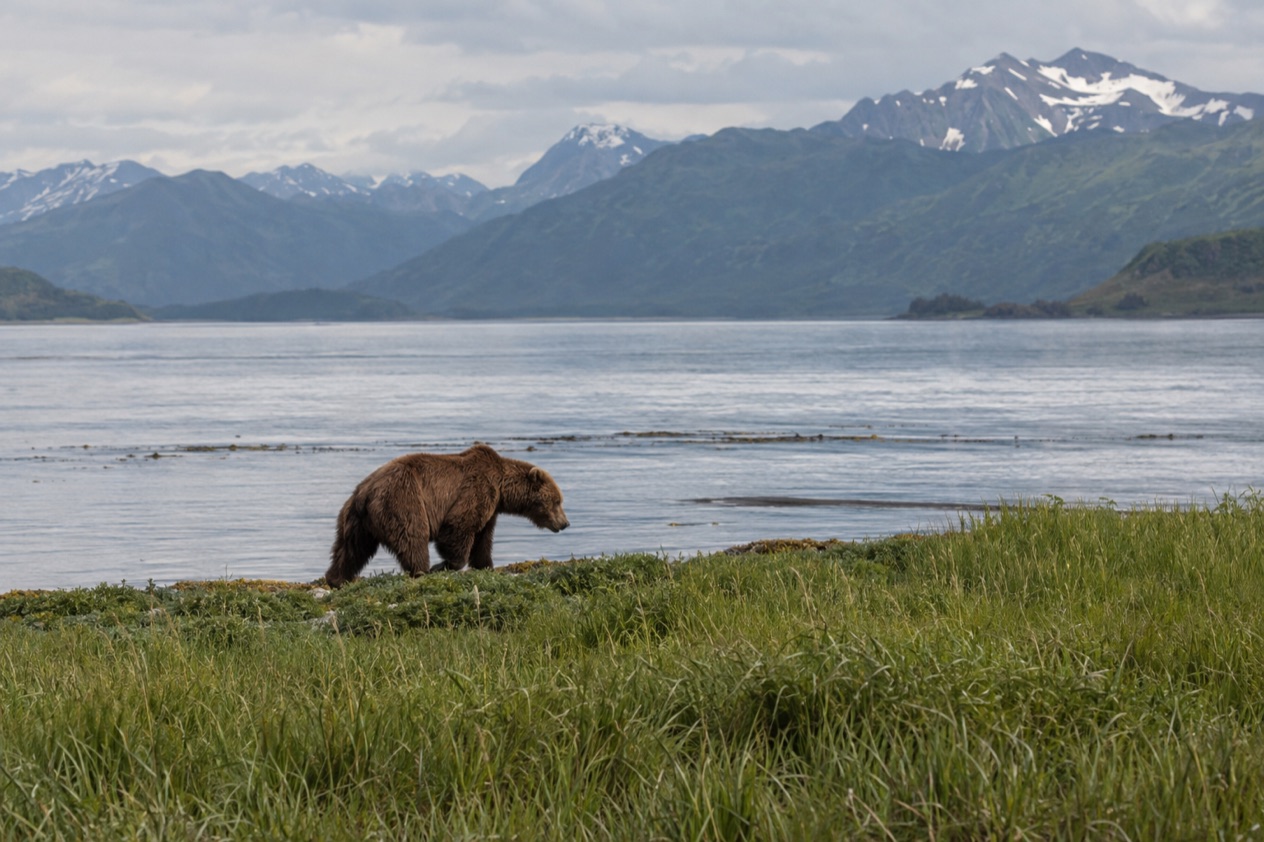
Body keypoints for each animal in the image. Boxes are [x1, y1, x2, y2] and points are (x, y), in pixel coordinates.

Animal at [324, 444, 569, 587]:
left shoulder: (491, 509)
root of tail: (365, 492)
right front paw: (443, 565)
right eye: (557, 501)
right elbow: (458, 526)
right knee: (413, 537)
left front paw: (486, 565)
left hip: (354, 520)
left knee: (350, 549)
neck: (501, 488)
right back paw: (422, 570)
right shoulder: (476, 489)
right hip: (403, 500)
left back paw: (336, 579)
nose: (565, 523)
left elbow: (483, 538)